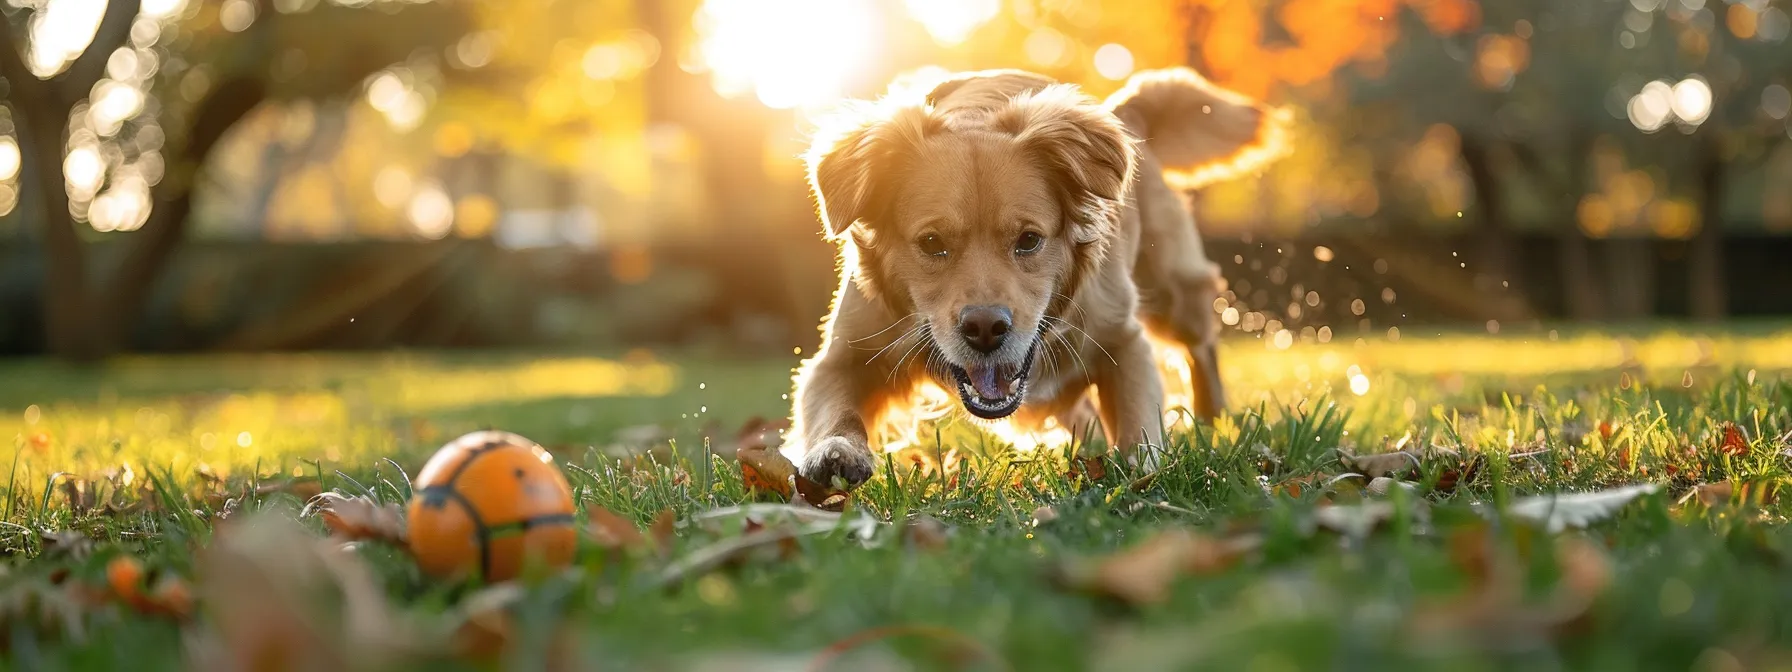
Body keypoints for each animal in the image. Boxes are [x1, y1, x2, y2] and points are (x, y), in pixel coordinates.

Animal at [788, 67, 1290, 491]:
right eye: (931, 243)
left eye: (1029, 240)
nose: (985, 329)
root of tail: (1122, 112)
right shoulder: (843, 355)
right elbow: (835, 409)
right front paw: (835, 449)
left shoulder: (1123, 338)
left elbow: (1137, 418)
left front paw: (1141, 469)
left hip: (1172, 291)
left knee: (1200, 344)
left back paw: (1212, 418)